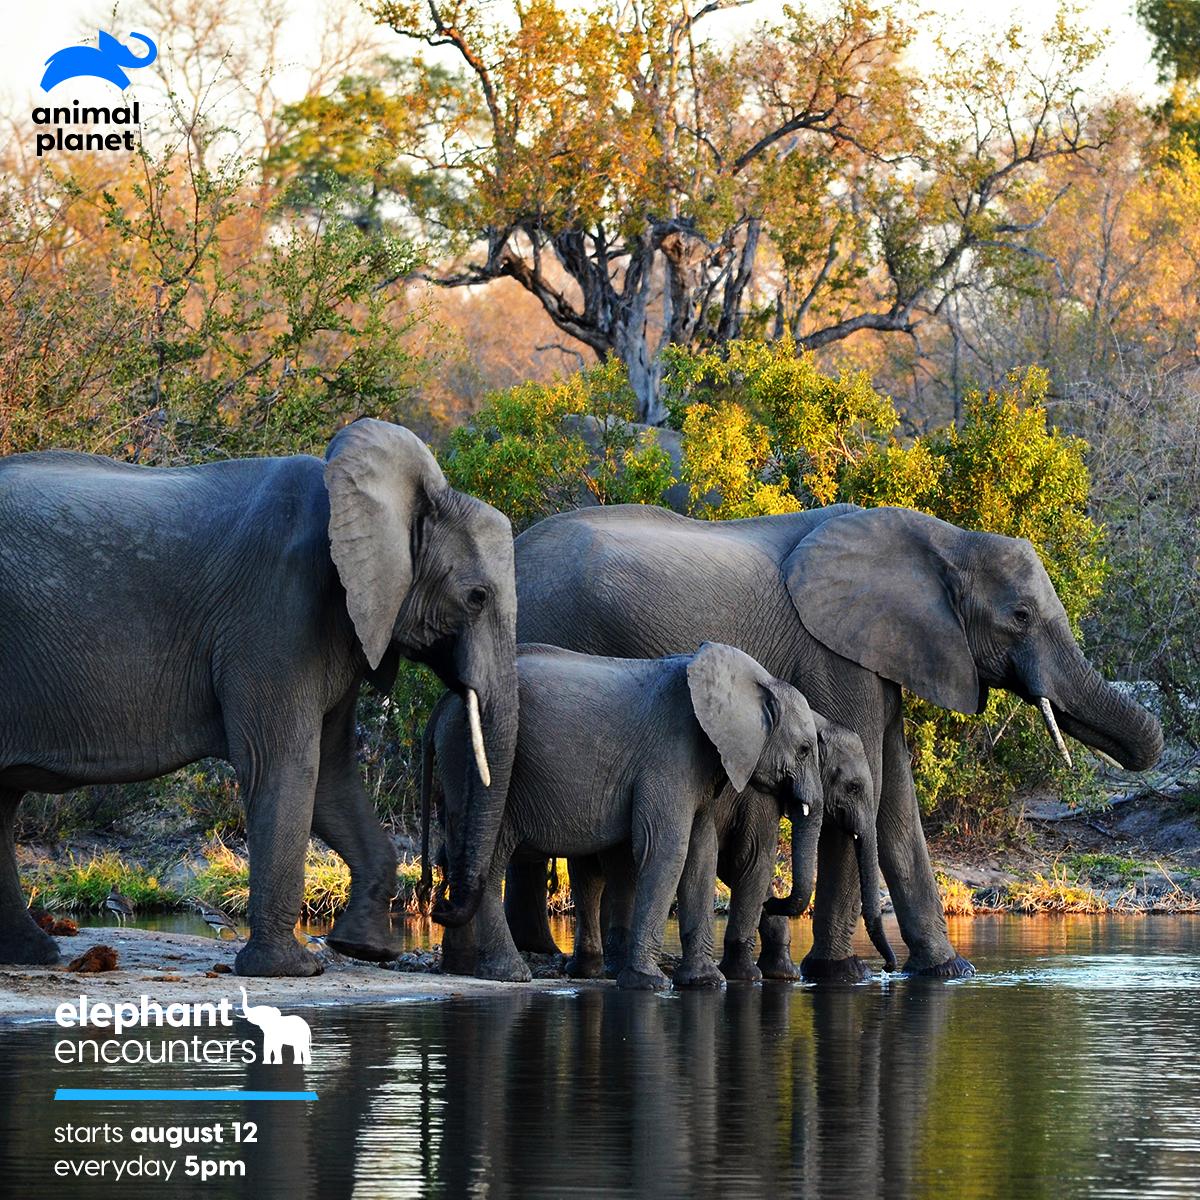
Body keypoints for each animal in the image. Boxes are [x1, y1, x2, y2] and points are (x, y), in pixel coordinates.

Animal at [0, 420, 518, 975]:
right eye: (477, 597)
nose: (439, 906)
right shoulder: (278, 606)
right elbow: (285, 761)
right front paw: (294, 969)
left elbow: (332, 774)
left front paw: (363, 949)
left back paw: (32, 954)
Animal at [422, 641, 834, 988]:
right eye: (804, 749)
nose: (773, 901)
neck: (756, 681)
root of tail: (442, 703)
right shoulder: (670, 755)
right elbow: (666, 850)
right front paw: (648, 983)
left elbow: (700, 856)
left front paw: (704, 983)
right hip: (474, 760)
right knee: (489, 857)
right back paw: (511, 974)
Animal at [567, 716, 893, 981]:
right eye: (852, 787)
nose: (887, 968)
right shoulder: (757, 797)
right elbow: (750, 861)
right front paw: (747, 974)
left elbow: (736, 867)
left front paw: (783, 973)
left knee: (589, 874)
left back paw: (589, 968)